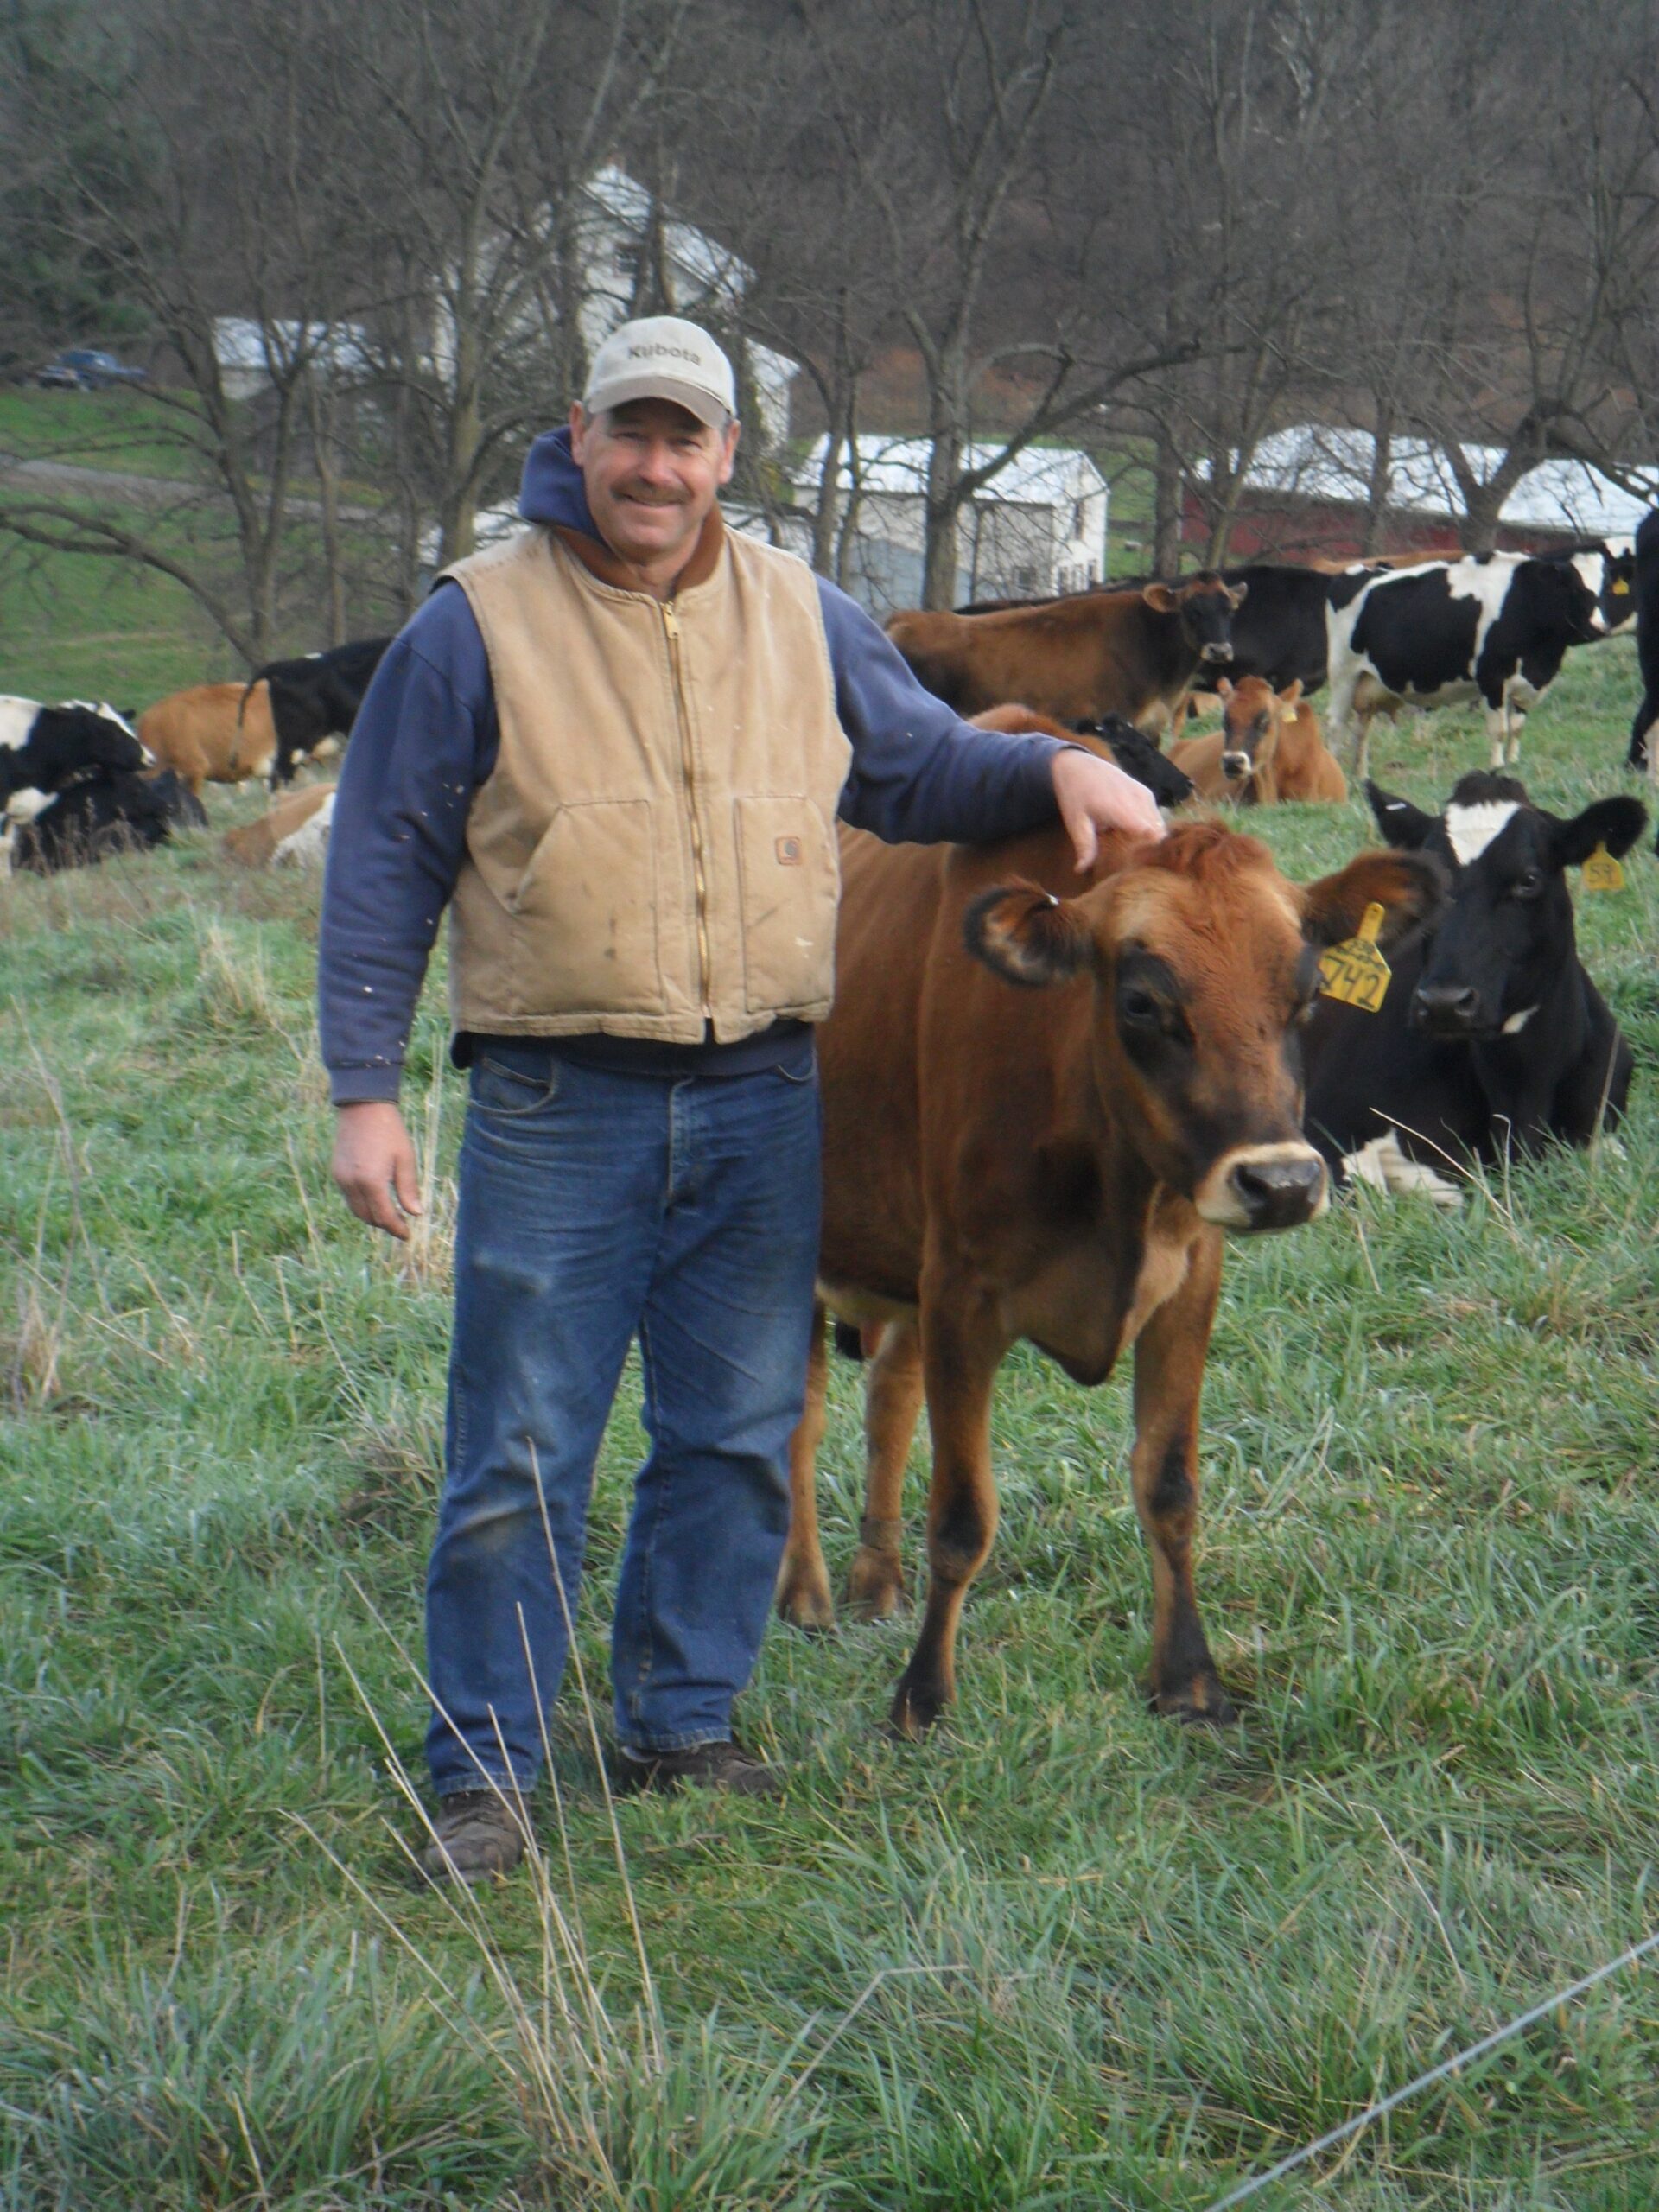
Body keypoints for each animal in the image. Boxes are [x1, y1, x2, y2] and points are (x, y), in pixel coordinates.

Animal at [773, 812, 1441, 1734]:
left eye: (1307, 996)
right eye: (1142, 1002)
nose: (1281, 1184)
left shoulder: (1190, 1282)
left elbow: (1168, 1487)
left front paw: (1189, 1680)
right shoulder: (961, 1296)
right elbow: (962, 1516)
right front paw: (923, 1697)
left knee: (888, 1402)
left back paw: (878, 1582)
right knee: (799, 1424)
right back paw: (806, 1596)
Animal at [1325, 550, 1633, 779]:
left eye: (1606, 588)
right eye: (1575, 588)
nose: (1599, 628)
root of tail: (1361, 571)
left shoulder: (1529, 682)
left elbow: (1517, 728)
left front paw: (1513, 764)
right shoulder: (1492, 677)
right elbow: (1499, 730)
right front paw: (1496, 767)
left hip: (1368, 683)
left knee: (1362, 729)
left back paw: (1361, 775)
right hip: (1343, 673)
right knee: (1335, 725)